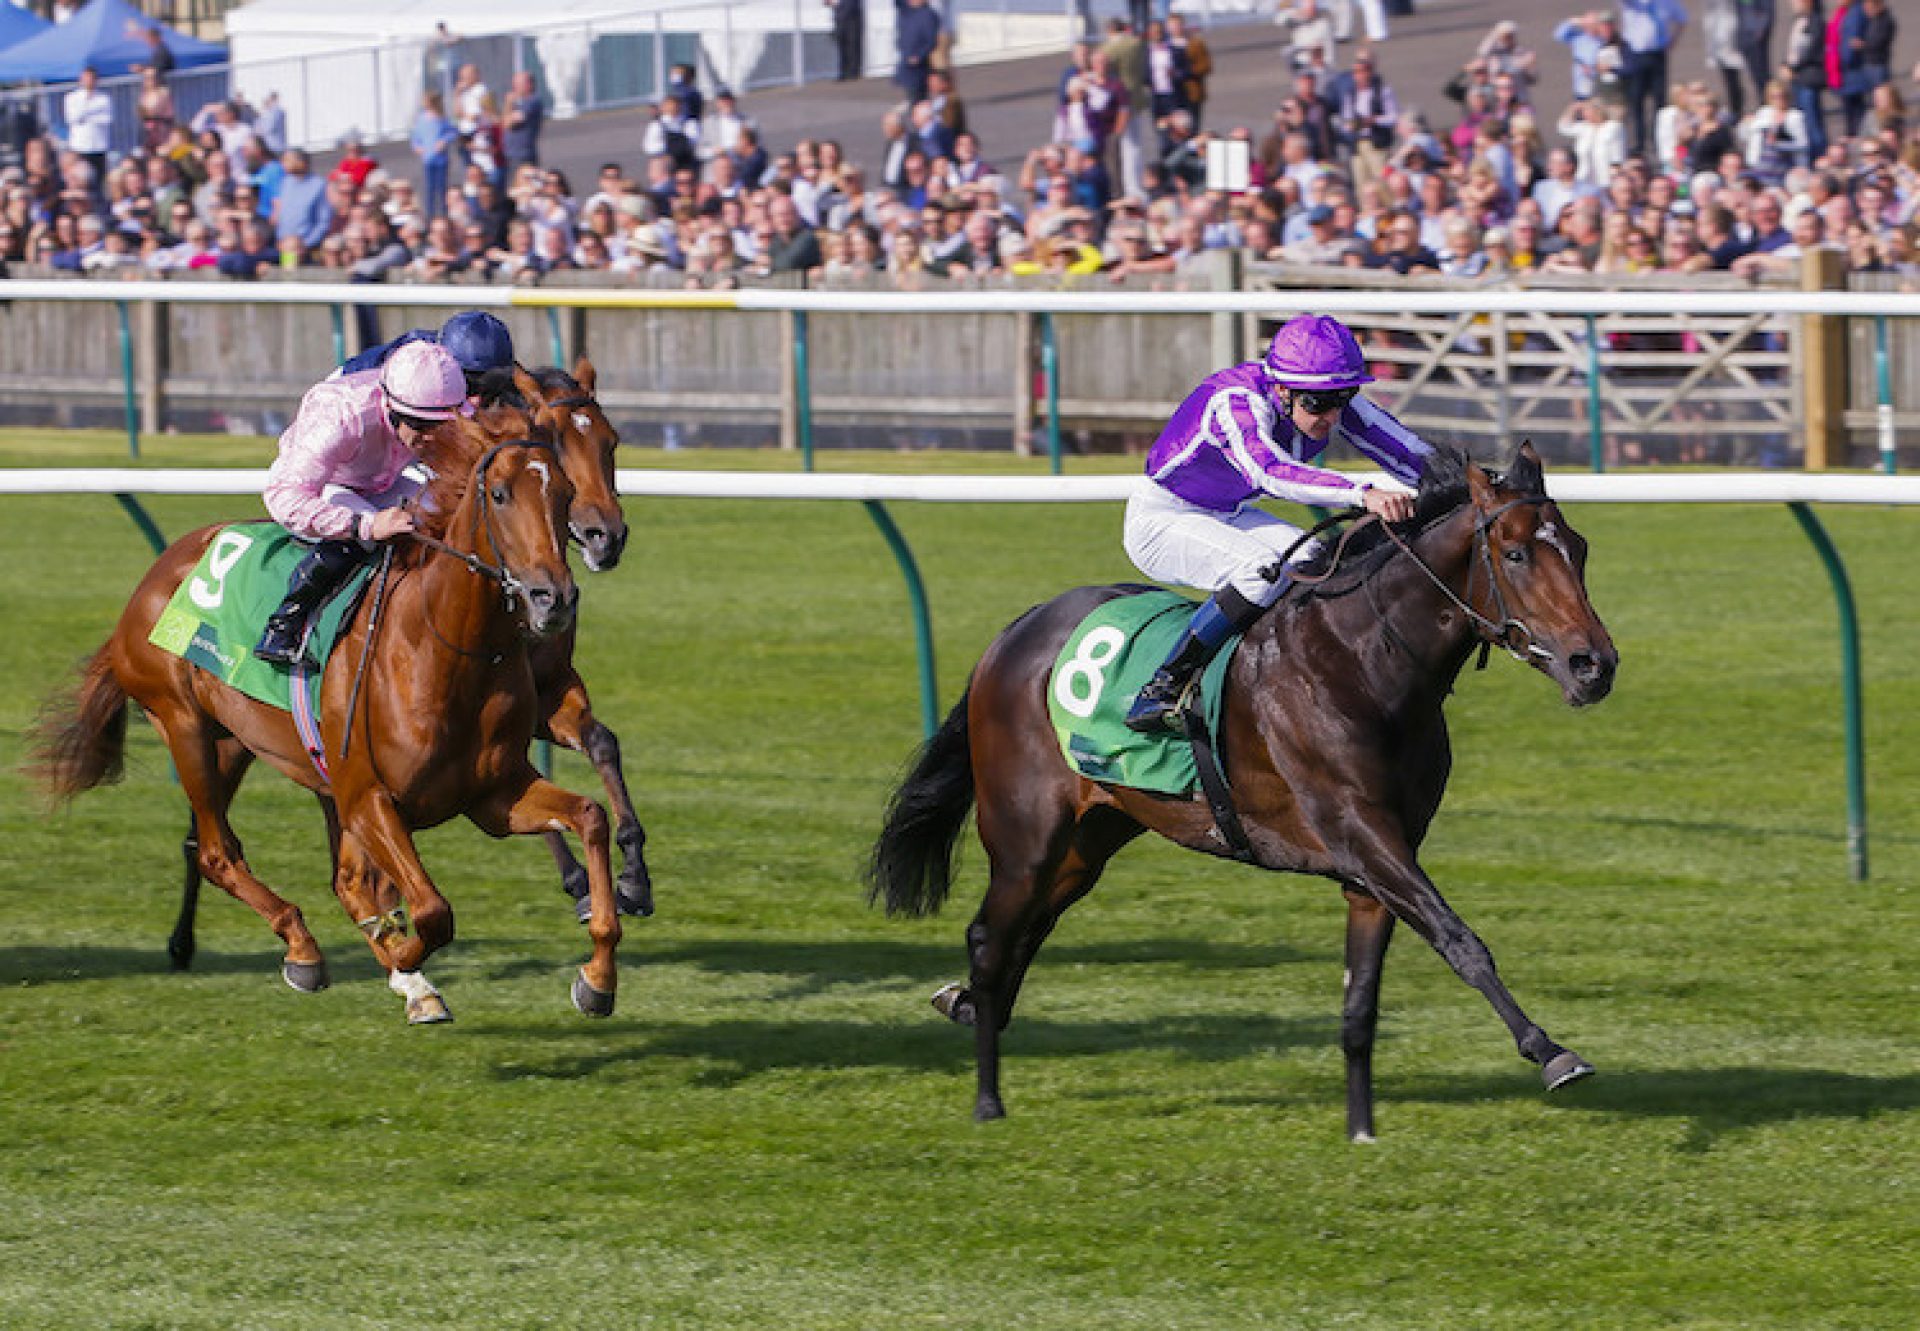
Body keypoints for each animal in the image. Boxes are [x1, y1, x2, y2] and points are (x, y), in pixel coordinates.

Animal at [31, 411, 622, 1021]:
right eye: (500, 494)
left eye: (565, 493)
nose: (553, 598)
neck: (442, 648)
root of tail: (156, 575)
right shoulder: (367, 796)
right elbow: (432, 912)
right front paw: (404, 964)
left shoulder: (492, 795)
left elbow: (590, 816)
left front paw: (597, 977)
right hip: (183, 725)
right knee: (218, 853)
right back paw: (304, 950)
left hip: (246, 747)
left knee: (332, 876)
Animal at [871, 441, 1620, 1137]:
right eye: (1515, 553)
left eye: (1580, 549)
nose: (1595, 664)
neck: (1364, 661)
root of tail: (1013, 631)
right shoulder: (1364, 837)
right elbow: (1460, 939)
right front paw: (1550, 1051)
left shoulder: (1376, 864)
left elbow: (1360, 1006)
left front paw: (1362, 1129)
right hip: (1025, 833)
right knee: (989, 937)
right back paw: (987, 1098)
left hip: (1092, 834)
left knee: (1029, 927)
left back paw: (968, 1004)